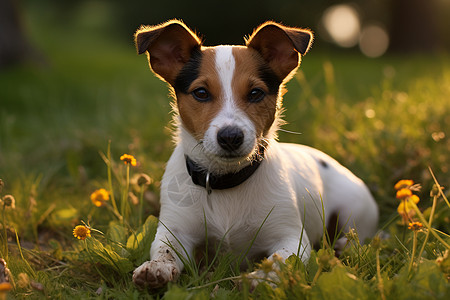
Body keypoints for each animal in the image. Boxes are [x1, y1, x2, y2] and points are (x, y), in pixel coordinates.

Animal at [132, 19, 378, 288]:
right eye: (201, 93)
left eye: (255, 93)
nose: (230, 137)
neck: (227, 181)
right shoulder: (175, 229)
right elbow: (165, 249)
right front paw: (157, 268)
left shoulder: (291, 238)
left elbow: (280, 260)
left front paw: (258, 278)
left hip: (354, 211)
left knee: (355, 237)